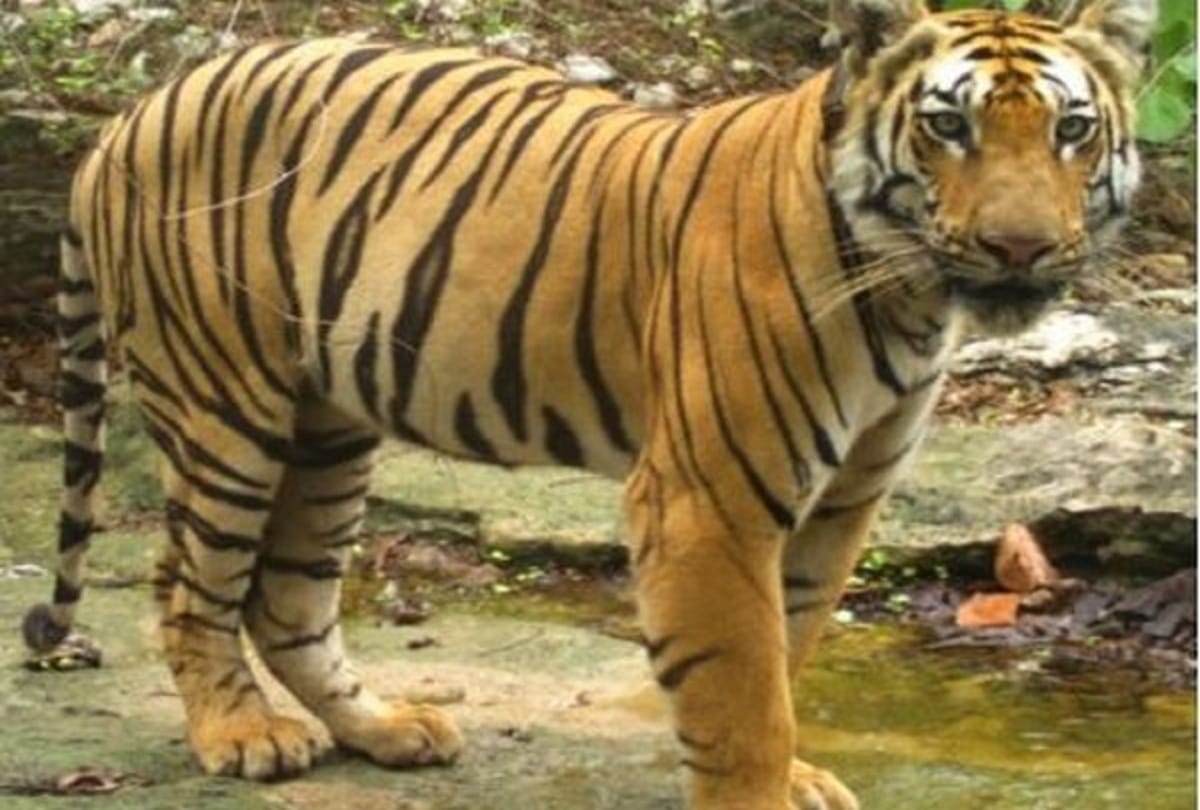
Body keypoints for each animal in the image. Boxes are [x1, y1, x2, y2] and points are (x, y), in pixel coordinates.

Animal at [20, 0, 1154, 807]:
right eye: (947, 126)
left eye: (1072, 130)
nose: (1019, 249)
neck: (909, 294)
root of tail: (130, 116)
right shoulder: (706, 499)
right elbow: (742, 687)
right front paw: (760, 790)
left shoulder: (843, 501)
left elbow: (789, 647)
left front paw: (794, 775)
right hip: (227, 409)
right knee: (188, 582)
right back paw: (242, 735)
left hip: (330, 422)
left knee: (287, 596)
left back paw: (386, 729)